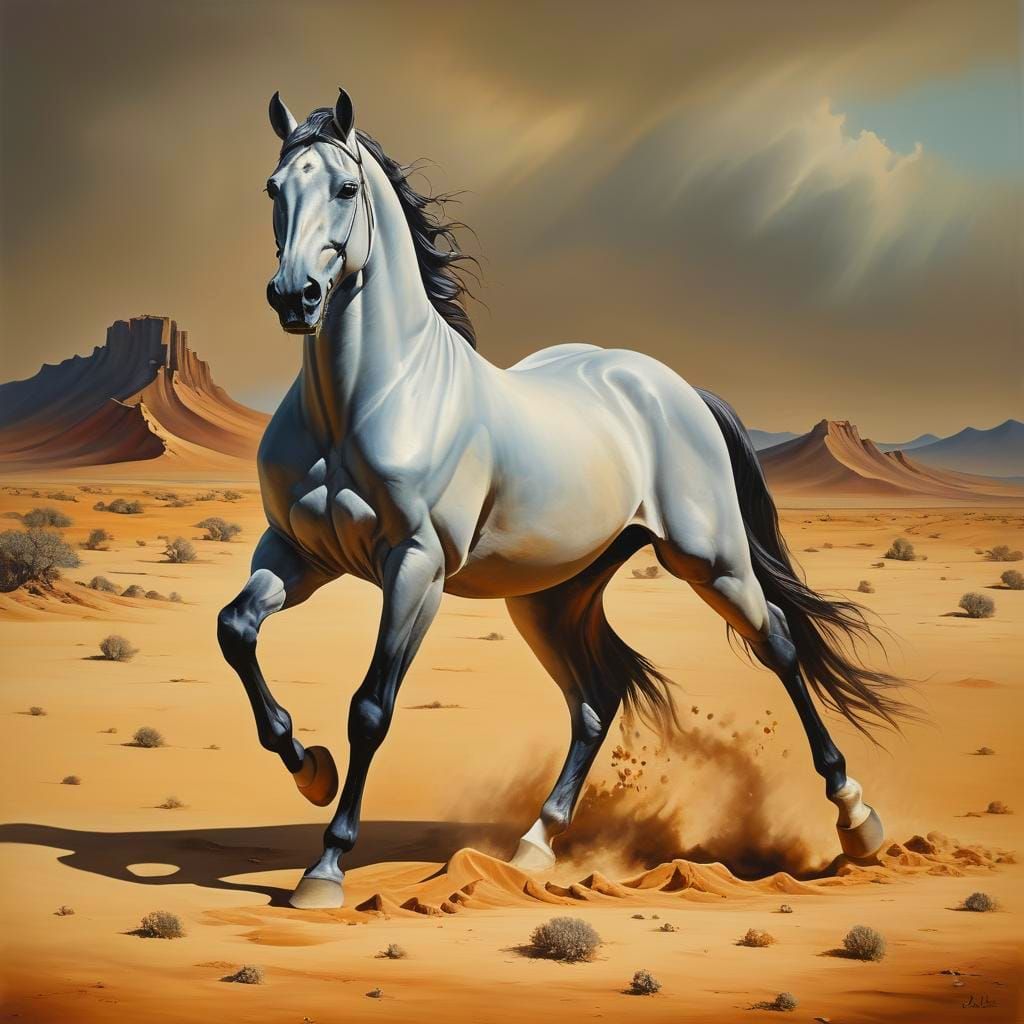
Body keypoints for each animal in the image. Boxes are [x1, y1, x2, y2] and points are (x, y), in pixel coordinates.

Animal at [217, 88, 910, 909]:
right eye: (273, 189)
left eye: (347, 188)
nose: (296, 297)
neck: (366, 400)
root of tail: (675, 387)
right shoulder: (297, 553)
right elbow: (236, 630)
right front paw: (310, 769)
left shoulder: (414, 568)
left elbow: (371, 708)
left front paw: (324, 867)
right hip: (551, 597)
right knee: (595, 699)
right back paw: (535, 845)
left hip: (710, 560)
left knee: (776, 640)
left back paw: (857, 819)